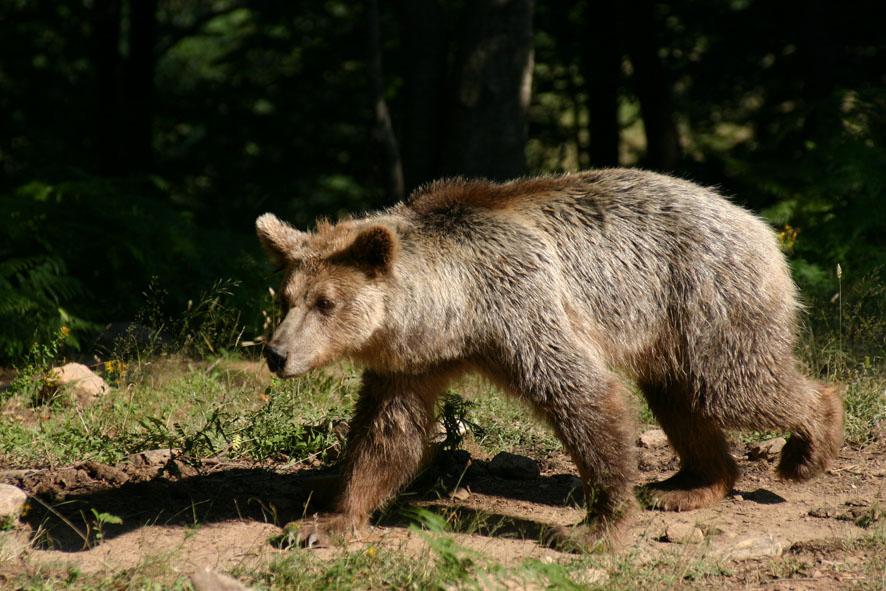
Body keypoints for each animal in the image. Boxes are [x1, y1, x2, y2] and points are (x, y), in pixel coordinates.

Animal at [255, 169, 848, 552]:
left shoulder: (521, 305)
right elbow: (386, 433)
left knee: (735, 385)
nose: (276, 354)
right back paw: (690, 486)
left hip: (706, 295)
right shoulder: (411, 362)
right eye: (286, 297)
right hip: (672, 332)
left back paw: (807, 447)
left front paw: (597, 526)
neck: (455, 312)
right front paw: (326, 520)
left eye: (326, 302)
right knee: (679, 400)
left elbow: (581, 395)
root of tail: (756, 222)